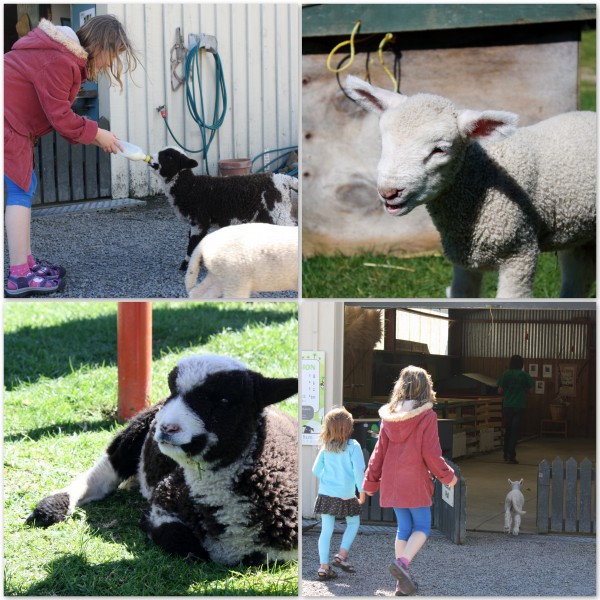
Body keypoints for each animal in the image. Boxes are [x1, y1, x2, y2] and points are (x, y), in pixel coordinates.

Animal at [25, 356, 298, 568]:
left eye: (224, 400)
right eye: (173, 392)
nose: (166, 428)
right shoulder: (163, 501)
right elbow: (185, 544)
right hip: (139, 426)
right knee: (107, 469)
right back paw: (51, 507)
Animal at [148, 149, 298, 270]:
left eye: (169, 156)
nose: (151, 158)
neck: (190, 186)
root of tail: (283, 179)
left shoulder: (199, 219)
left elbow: (193, 243)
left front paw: (186, 266)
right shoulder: (196, 222)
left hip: (278, 212)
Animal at [342, 76, 596, 298]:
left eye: (440, 149)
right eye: (383, 141)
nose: (389, 192)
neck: (480, 178)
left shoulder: (520, 251)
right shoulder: (465, 259)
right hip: (579, 235)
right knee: (578, 277)